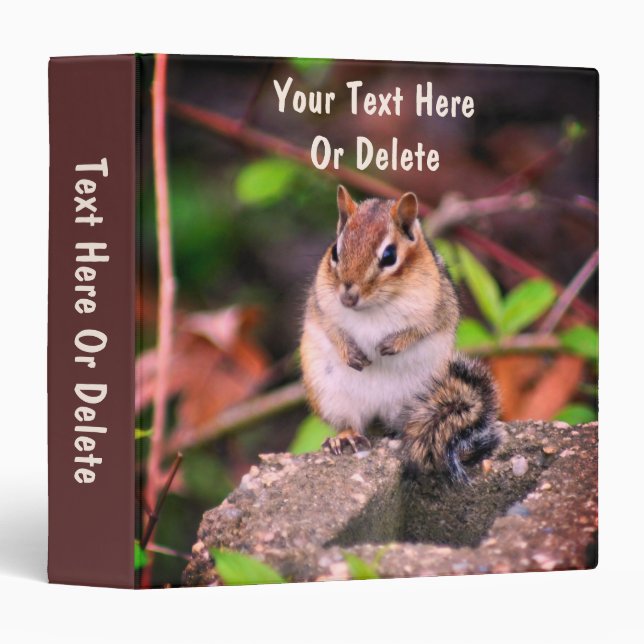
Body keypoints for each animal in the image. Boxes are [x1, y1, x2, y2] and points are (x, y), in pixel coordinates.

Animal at [299, 185, 499, 483]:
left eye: (389, 256)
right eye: (335, 251)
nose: (347, 296)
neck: (374, 307)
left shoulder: (439, 307)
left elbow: (424, 327)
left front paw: (393, 344)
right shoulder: (320, 305)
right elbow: (331, 329)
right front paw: (350, 352)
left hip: (422, 395)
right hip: (330, 394)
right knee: (350, 421)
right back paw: (345, 437)